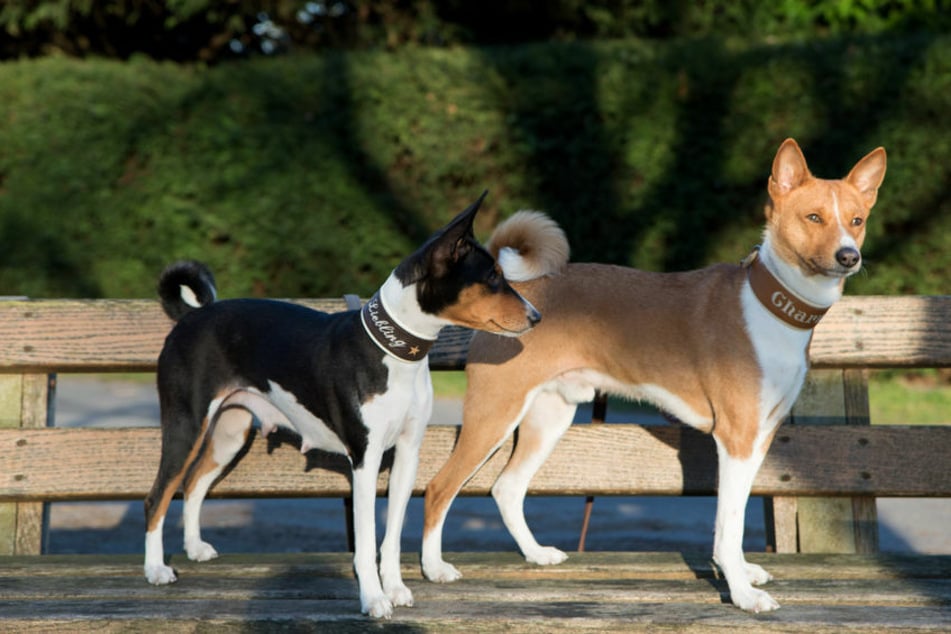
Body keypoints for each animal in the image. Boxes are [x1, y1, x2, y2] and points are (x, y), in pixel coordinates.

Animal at [144, 194, 540, 616]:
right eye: (493, 277)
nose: (537, 316)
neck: (392, 354)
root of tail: (192, 315)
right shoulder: (365, 459)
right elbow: (366, 542)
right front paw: (374, 598)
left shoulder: (407, 454)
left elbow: (392, 537)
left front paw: (395, 588)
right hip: (186, 425)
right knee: (158, 495)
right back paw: (155, 569)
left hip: (229, 433)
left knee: (193, 483)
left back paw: (193, 548)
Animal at [420, 137, 888, 608]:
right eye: (814, 217)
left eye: (857, 220)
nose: (849, 256)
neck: (772, 306)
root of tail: (518, 292)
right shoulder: (736, 438)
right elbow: (729, 525)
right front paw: (740, 592)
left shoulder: (760, 437)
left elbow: (734, 518)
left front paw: (741, 573)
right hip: (495, 413)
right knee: (440, 487)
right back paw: (434, 569)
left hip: (549, 416)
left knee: (508, 488)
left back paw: (535, 554)